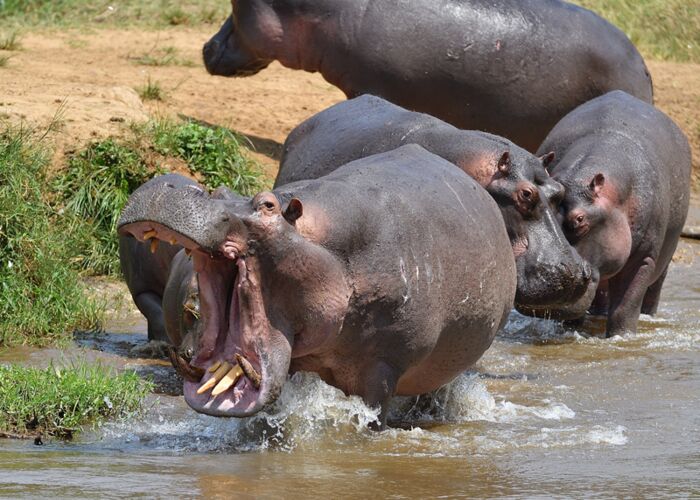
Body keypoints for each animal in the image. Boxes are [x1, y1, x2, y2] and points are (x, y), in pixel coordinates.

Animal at [118, 145, 516, 426]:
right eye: (219, 191)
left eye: (267, 205)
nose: (171, 187)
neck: (327, 249)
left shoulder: (384, 367)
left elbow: (371, 418)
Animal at [536, 91, 691, 337]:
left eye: (579, 219)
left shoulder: (644, 259)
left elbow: (625, 308)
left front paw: (622, 337)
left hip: (664, 259)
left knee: (653, 291)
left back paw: (648, 315)